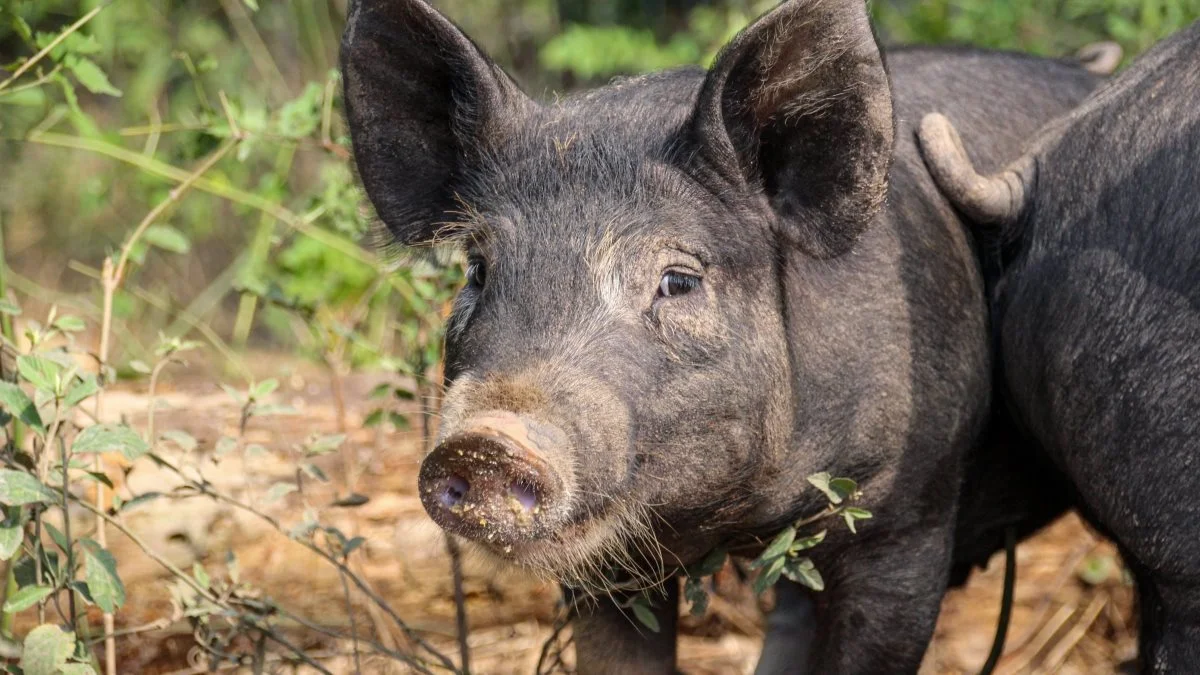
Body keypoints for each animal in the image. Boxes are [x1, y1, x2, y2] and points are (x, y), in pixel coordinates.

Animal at [343, 0, 1099, 667]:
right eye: (478, 268)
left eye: (678, 280)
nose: (485, 443)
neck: (741, 521)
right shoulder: (607, 571)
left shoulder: (909, 517)